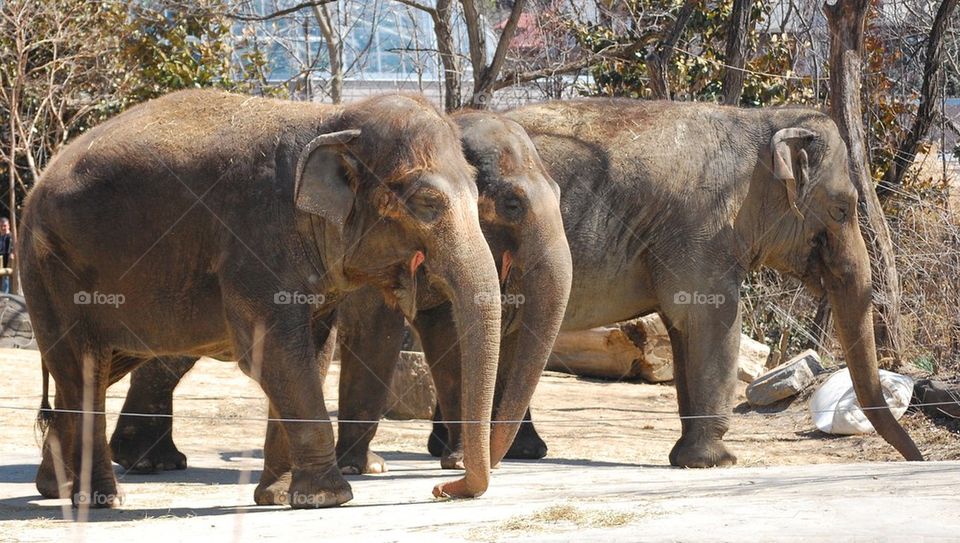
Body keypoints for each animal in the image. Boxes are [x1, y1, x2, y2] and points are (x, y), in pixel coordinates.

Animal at [22, 89, 509, 509]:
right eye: (427, 202)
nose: (443, 488)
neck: (331, 121)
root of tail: (37, 185)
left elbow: (311, 354)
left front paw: (279, 497)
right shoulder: (254, 240)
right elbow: (274, 354)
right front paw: (331, 497)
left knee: (89, 372)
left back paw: (54, 488)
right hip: (50, 273)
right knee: (84, 371)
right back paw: (102, 499)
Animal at [106, 109, 572, 476]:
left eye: (559, 194)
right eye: (512, 204)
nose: (494, 462)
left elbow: (448, 336)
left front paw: (455, 462)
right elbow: (379, 335)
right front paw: (363, 468)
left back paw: (148, 459)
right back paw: (148, 462)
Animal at [425, 99, 923, 467]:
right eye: (842, 209)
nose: (917, 459)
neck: (763, 120)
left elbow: (683, 326)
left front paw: (690, 458)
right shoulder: (702, 226)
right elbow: (710, 319)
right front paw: (716, 462)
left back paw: (495, 451)